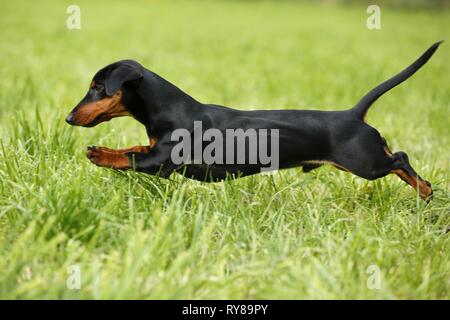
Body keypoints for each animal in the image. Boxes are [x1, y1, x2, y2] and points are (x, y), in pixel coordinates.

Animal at [67, 42, 442, 200]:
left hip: (364, 163)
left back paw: (425, 190)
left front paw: (98, 154)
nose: (69, 118)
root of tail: (352, 113)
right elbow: (133, 148)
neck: (170, 107)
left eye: (97, 87)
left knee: (400, 159)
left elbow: (128, 157)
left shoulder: (160, 161)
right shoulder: (155, 152)